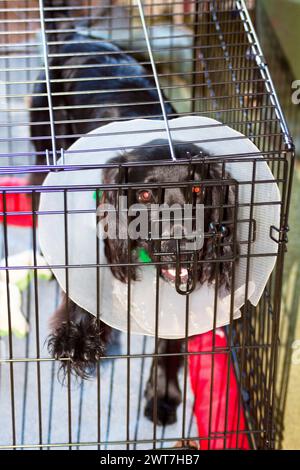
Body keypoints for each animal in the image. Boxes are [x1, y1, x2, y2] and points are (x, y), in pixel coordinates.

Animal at [30, 0, 237, 426]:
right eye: (143, 193)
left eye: (197, 189)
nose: (181, 247)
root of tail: (74, 35)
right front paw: (77, 337)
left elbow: (169, 343)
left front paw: (162, 393)